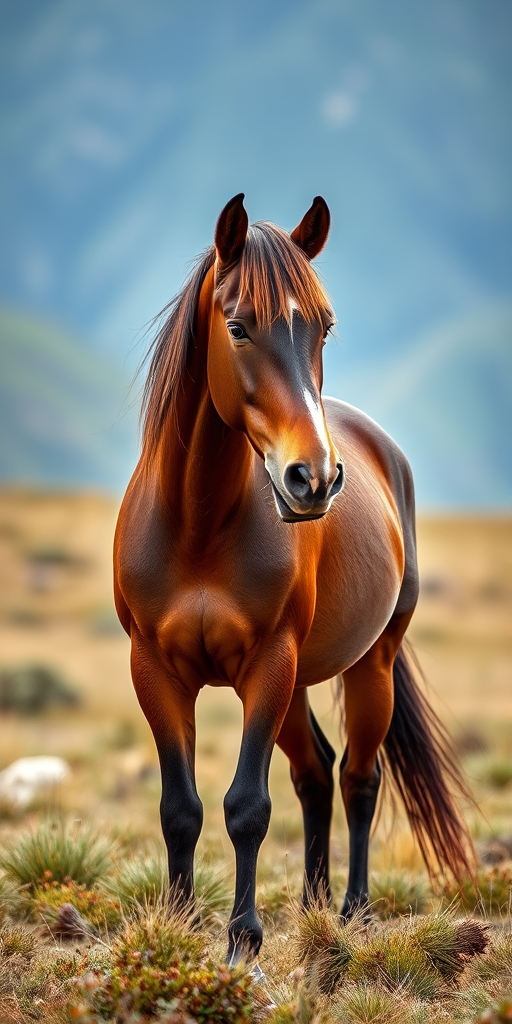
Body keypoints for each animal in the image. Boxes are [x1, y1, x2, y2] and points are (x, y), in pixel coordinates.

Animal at [114, 194, 474, 962]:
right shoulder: (155, 670)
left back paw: (355, 911)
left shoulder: (267, 666)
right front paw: (180, 926)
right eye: (238, 326)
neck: (198, 520)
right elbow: (180, 808)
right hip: (300, 681)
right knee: (315, 774)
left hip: (368, 666)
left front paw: (242, 941)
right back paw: (311, 905)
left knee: (359, 777)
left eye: (324, 327)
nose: (314, 478)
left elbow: (247, 807)